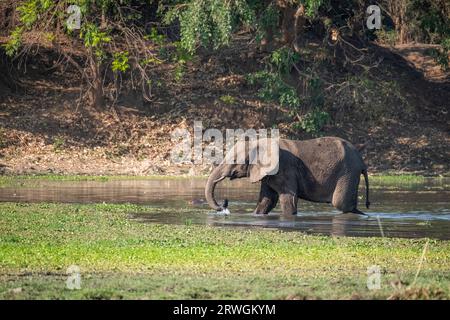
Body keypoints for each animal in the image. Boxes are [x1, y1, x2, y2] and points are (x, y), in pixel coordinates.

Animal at [206, 136, 370, 215]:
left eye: (234, 160)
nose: (224, 205)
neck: (259, 143)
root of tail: (362, 161)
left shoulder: (284, 169)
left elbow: (287, 198)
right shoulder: (268, 173)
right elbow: (267, 200)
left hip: (348, 173)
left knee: (341, 203)